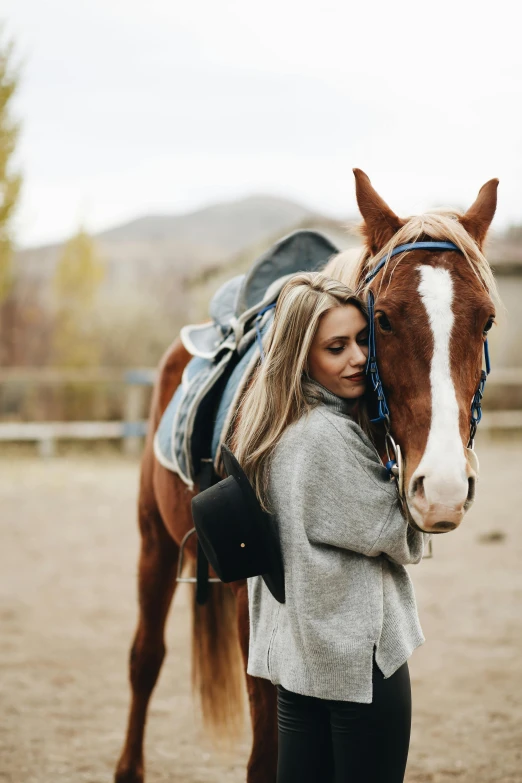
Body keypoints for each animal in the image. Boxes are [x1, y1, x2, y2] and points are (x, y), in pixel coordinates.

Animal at [115, 172, 500, 783]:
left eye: (486, 319)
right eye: (382, 320)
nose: (442, 490)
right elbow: (265, 756)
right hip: (154, 540)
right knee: (145, 659)